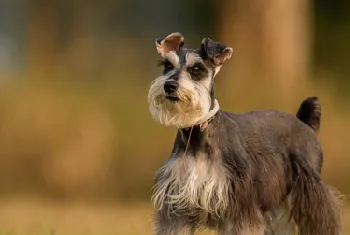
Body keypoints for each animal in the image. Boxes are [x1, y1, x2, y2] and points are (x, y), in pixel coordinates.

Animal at [148, 32, 342, 234]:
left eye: (196, 69)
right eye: (167, 66)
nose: (169, 86)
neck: (198, 133)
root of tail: (305, 124)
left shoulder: (241, 207)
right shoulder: (176, 210)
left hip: (311, 191)